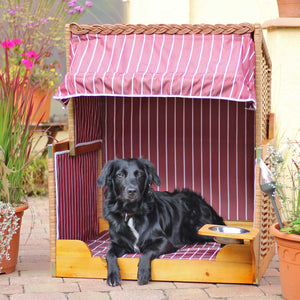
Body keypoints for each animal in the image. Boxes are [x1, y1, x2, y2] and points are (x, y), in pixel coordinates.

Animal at [97, 157, 226, 286]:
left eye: (139, 174)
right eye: (120, 175)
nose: (132, 191)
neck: (131, 213)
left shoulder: (165, 241)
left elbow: (147, 251)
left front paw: (143, 272)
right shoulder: (116, 243)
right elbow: (109, 254)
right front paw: (113, 275)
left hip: (198, 230)